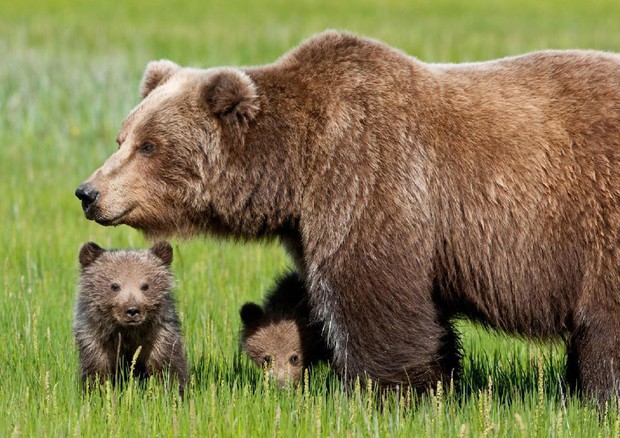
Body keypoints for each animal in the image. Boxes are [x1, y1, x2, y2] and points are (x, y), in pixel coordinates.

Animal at [74, 241, 188, 396]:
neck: (129, 332)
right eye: (114, 285)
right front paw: (98, 392)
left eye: (145, 285)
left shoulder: (159, 336)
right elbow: (97, 371)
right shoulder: (96, 339)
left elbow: (168, 367)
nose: (132, 310)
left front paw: (173, 392)